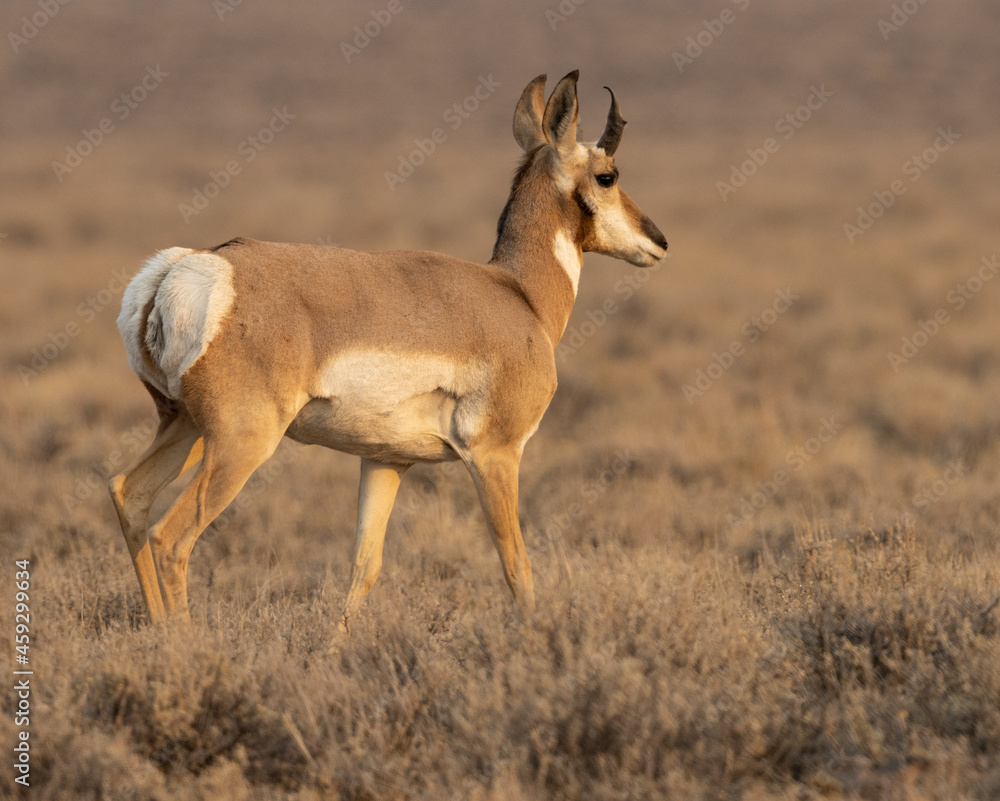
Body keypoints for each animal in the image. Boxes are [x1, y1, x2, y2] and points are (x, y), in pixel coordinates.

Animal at [109, 70, 667, 631]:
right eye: (608, 175)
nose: (659, 241)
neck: (517, 293)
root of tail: (185, 268)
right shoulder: (496, 455)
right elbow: (516, 566)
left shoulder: (385, 462)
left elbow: (365, 566)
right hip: (240, 444)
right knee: (171, 538)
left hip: (185, 426)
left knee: (128, 495)